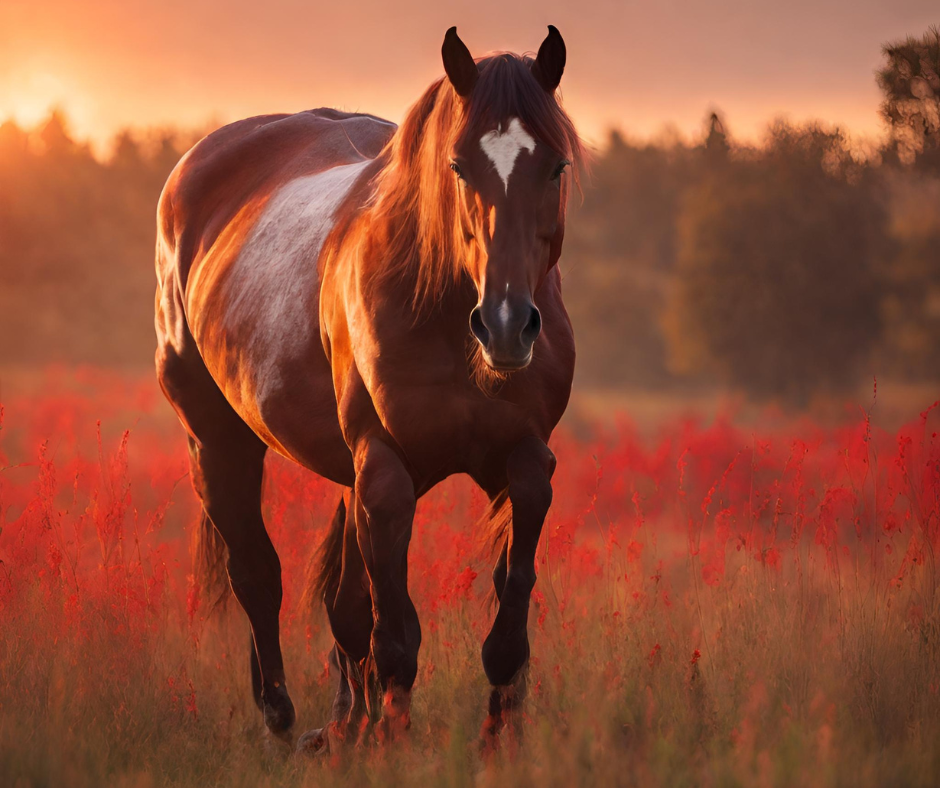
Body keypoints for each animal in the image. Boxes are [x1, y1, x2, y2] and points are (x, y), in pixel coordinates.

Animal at [154, 24, 580, 752]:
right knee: (257, 574)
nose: (505, 325)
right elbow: (395, 636)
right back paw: (282, 717)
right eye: (458, 166)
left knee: (344, 607)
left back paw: (341, 724)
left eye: (553, 167)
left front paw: (500, 742)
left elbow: (507, 615)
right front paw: (395, 746)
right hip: (216, 439)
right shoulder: (384, 472)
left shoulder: (526, 463)